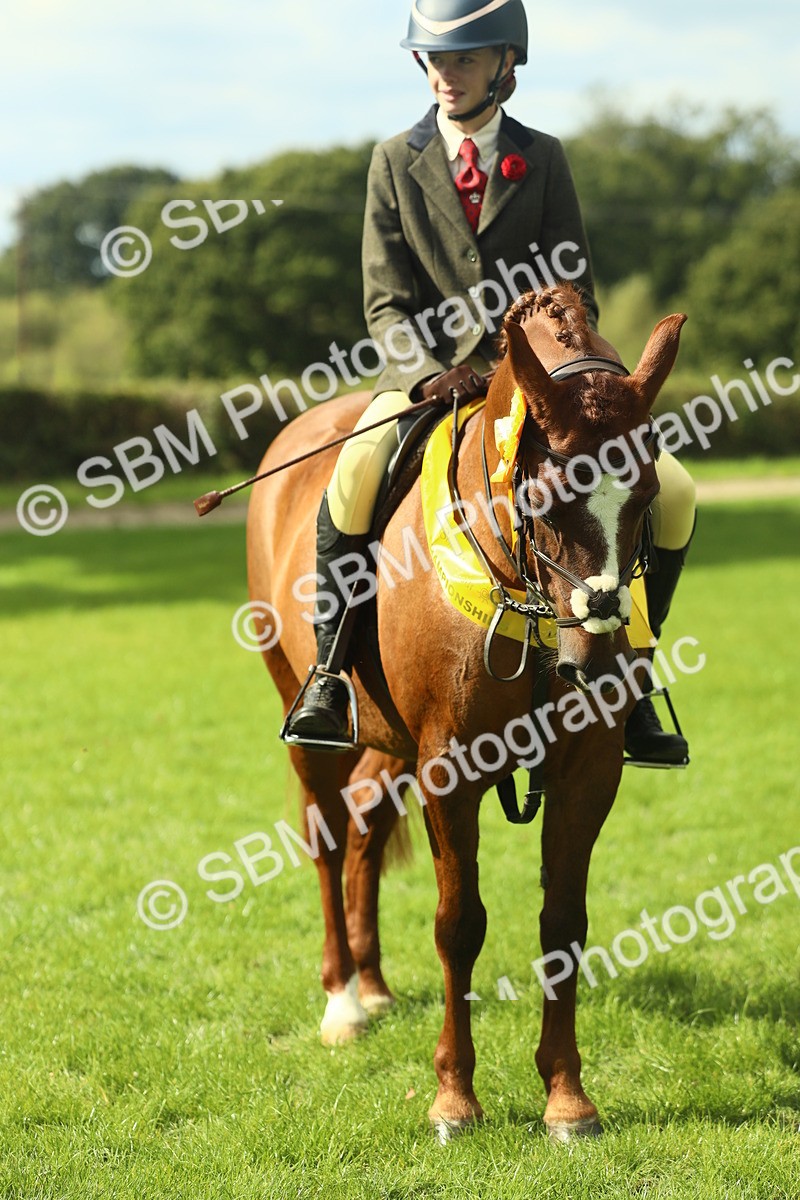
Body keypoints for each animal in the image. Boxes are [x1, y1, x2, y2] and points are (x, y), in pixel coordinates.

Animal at [246, 284, 686, 1141]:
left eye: (647, 495)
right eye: (542, 494)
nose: (592, 659)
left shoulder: (587, 769)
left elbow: (564, 923)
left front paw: (567, 1098)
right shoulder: (449, 767)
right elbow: (460, 924)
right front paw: (454, 1097)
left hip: (391, 744)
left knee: (365, 828)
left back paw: (376, 984)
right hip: (309, 719)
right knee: (326, 836)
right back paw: (344, 1001)